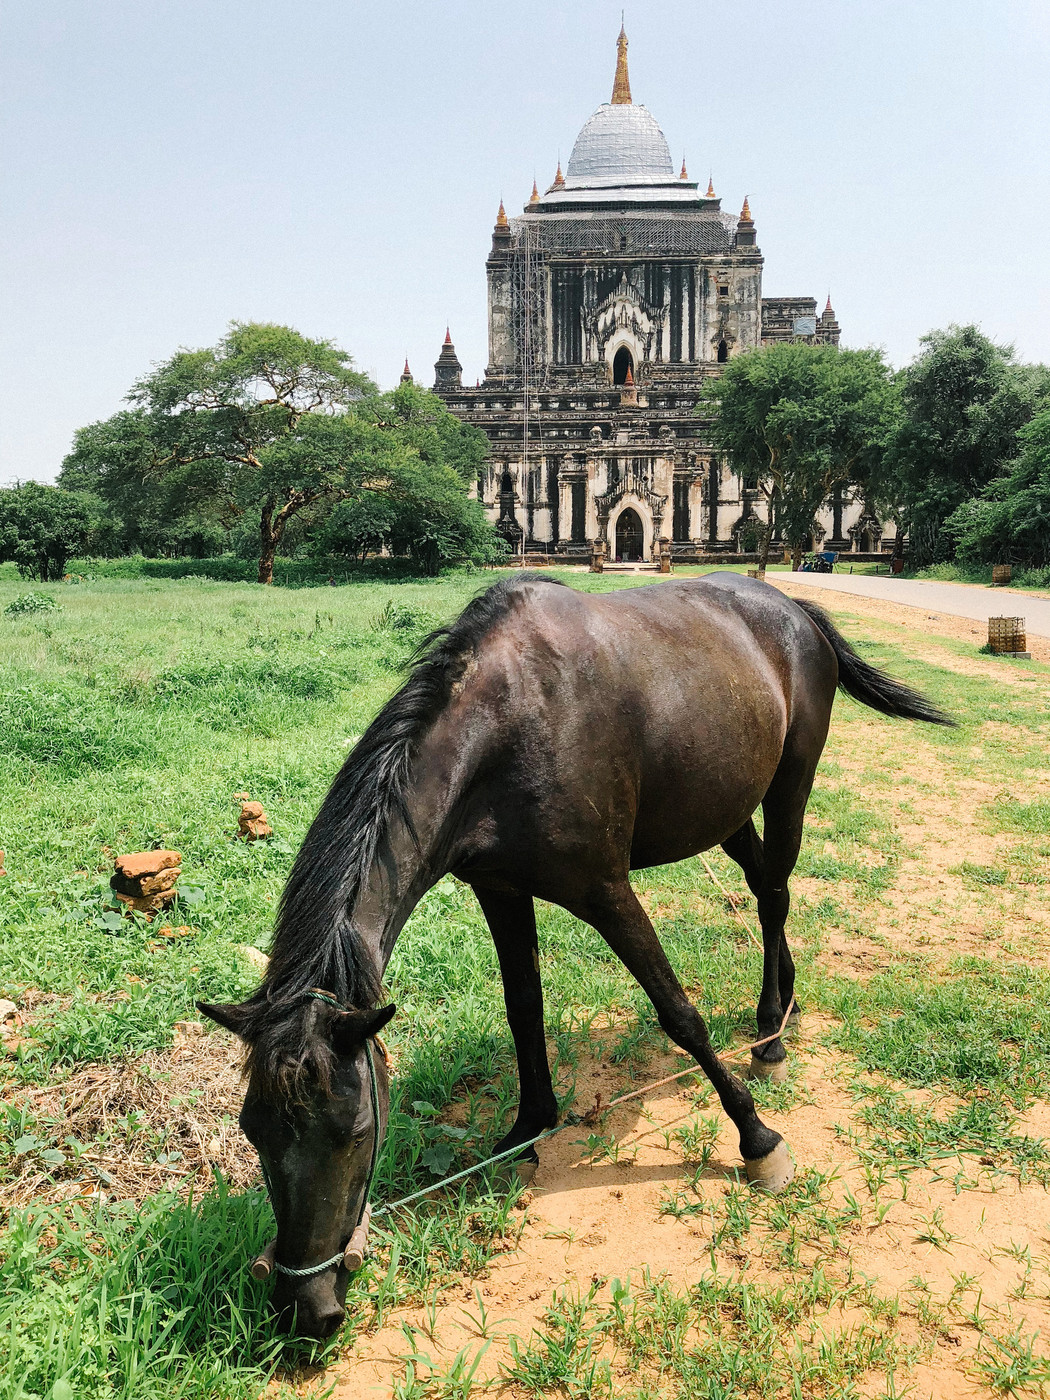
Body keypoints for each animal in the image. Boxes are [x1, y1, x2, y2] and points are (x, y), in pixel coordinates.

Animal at [199, 572, 950, 1337]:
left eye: (354, 1134)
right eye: (253, 1132)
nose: (307, 1309)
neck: (510, 728)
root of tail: (794, 610)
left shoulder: (605, 890)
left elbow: (680, 1015)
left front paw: (757, 1141)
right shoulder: (500, 890)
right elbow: (523, 1008)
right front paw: (526, 1128)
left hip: (789, 784)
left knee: (772, 895)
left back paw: (770, 1036)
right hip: (727, 805)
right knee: (765, 882)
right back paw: (786, 1005)